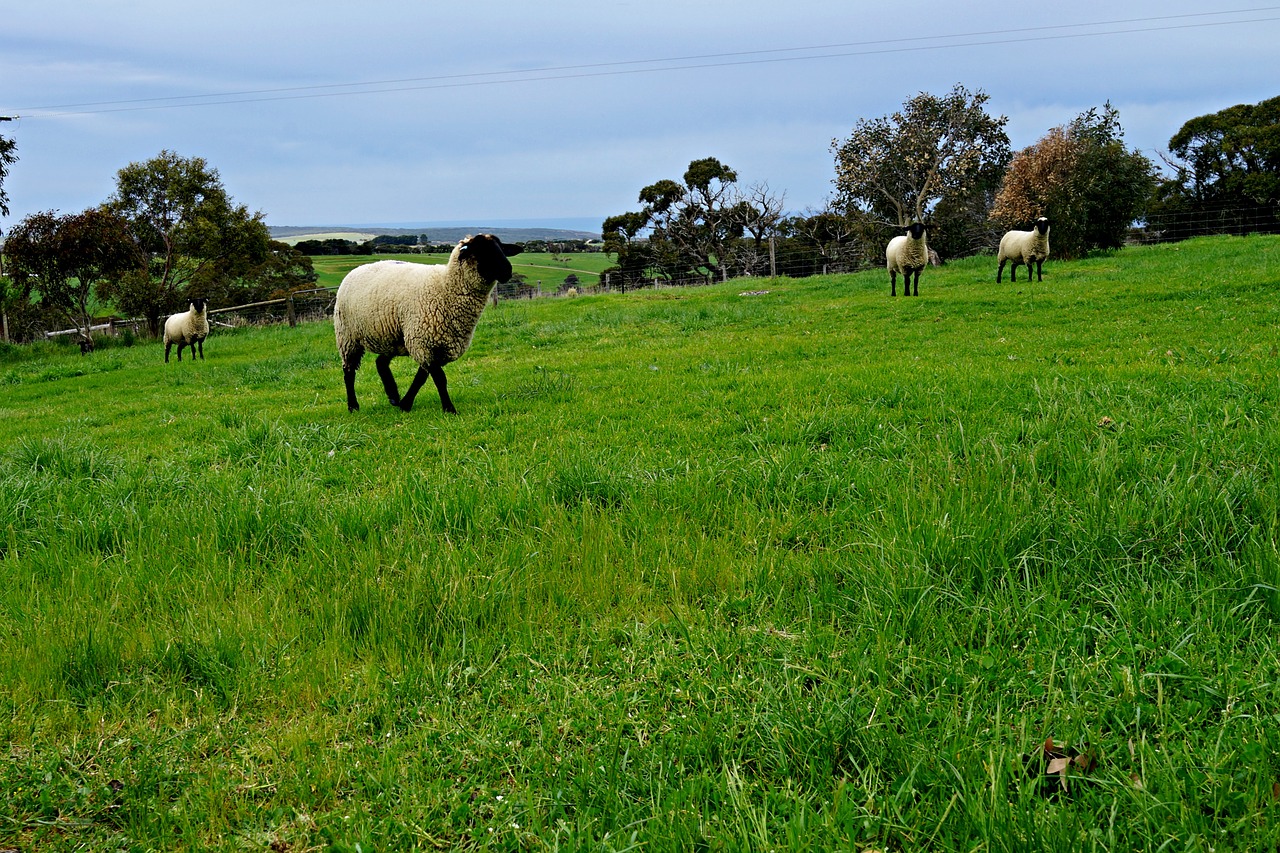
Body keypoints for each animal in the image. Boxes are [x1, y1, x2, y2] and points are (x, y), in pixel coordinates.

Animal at [337, 233, 527, 412]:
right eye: (481, 251)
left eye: (501, 248)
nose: (507, 271)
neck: (446, 287)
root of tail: (357, 269)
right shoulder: (423, 342)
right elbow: (439, 378)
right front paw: (449, 409)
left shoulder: (434, 345)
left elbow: (421, 378)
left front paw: (405, 404)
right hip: (347, 336)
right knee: (349, 371)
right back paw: (353, 406)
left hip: (394, 337)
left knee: (381, 363)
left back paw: (393, 396)